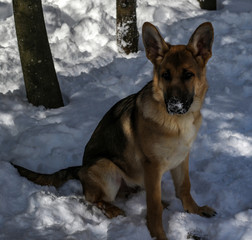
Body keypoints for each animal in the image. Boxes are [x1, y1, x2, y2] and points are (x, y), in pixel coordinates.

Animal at [13, 21, 215, 239]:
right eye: (165, 75)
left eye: (188, 75)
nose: (174, 105)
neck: (177, 122)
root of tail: (81, 169)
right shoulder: (152, 165)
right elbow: (153, 206)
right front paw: (157, 234)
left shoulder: (181, 158)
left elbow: (184, 187)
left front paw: (195, 210)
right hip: (106, 168)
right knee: (93, 199)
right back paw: (112, 209)